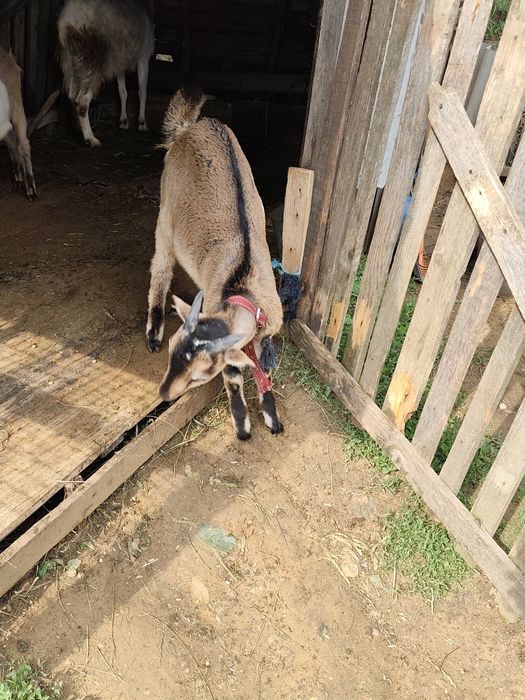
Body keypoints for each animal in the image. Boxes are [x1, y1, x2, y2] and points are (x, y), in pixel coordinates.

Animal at [58, 0, 154, 146]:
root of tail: (68, 21)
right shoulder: (144, 57)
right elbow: (142, 92)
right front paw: (142, 124)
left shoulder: (120, 64)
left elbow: (123, 92)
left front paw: (123, 122)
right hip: (92, 59)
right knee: (82, 100)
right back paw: (91, 139)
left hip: (71, 62)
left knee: (71, 96)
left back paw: (79, 130)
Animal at [146, 86, 284, 440]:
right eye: (171, 353)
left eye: (201, 373)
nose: (164, 393)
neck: (243, 285)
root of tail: (188, 127)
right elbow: (235, 377)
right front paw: (243, 426)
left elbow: (263, 367)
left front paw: (272, 416)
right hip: (166, 209)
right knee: (161, 266)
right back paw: (153, 330)